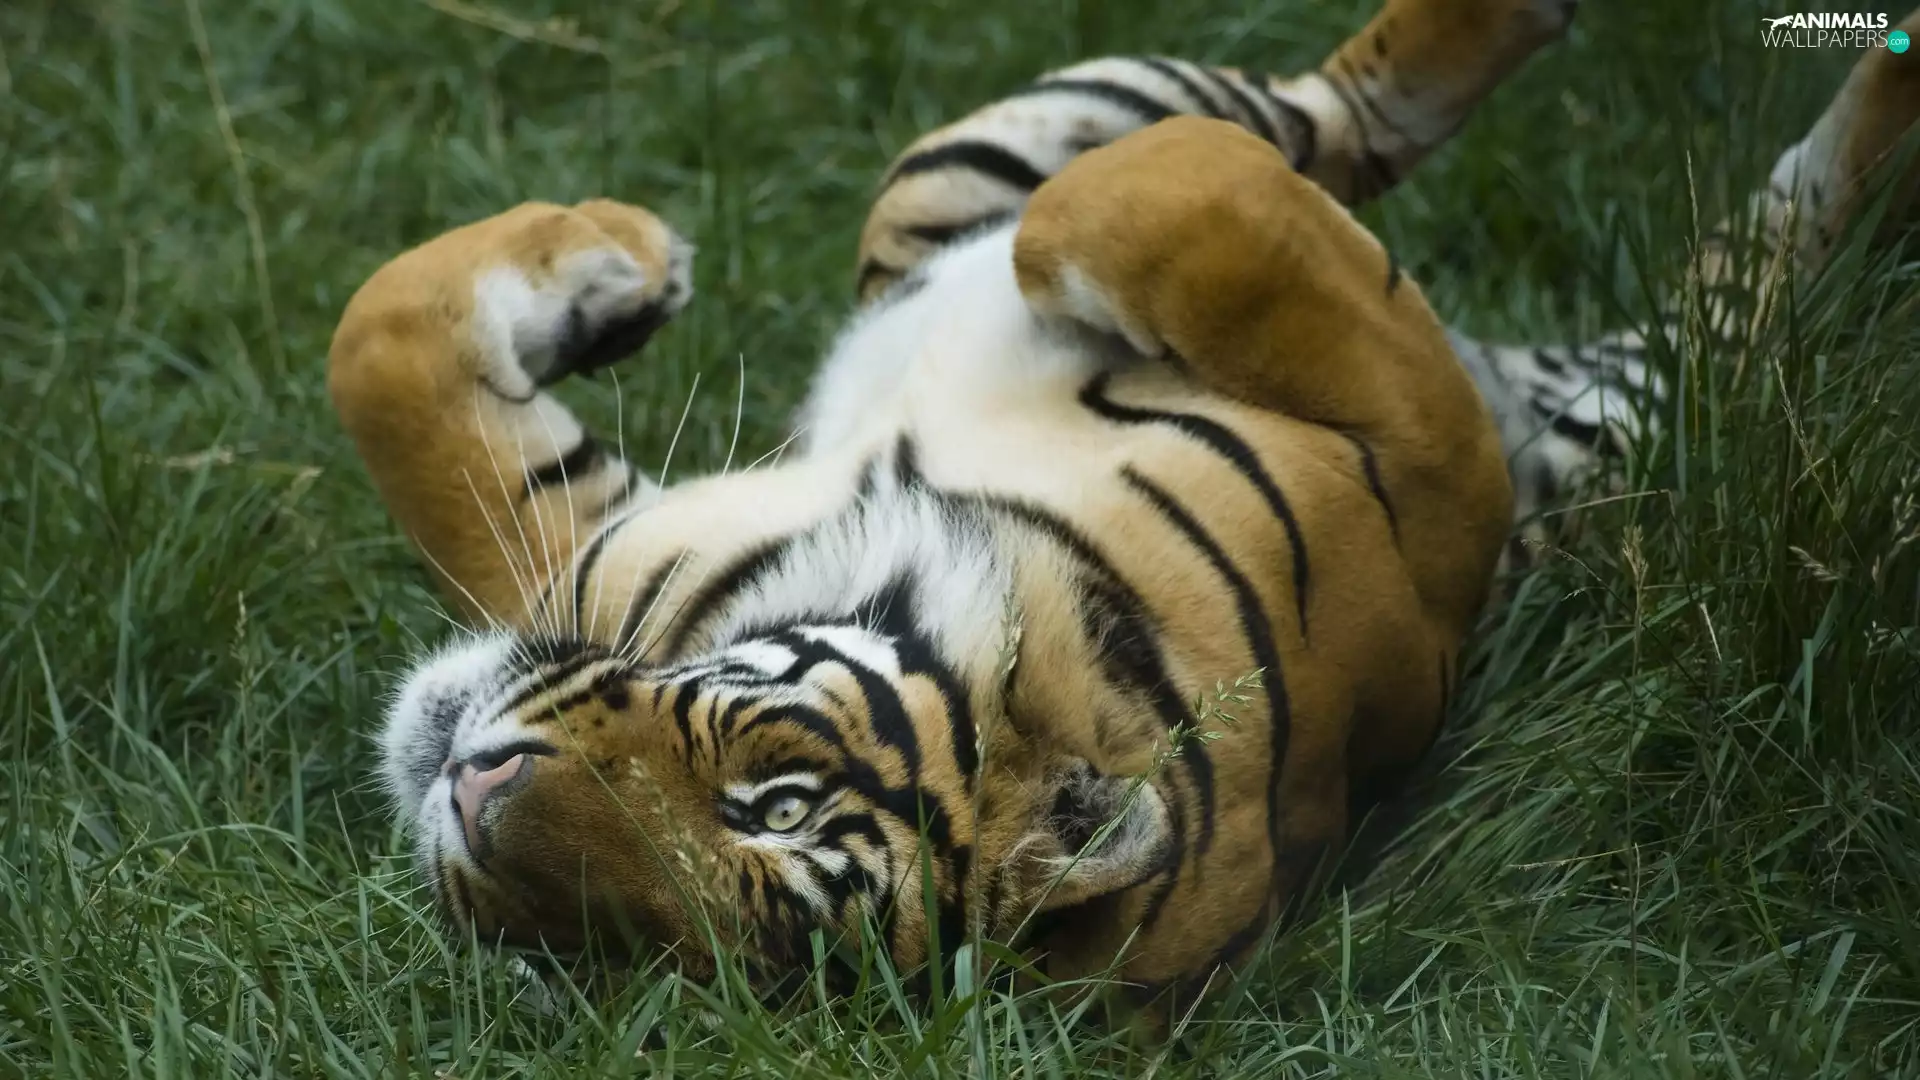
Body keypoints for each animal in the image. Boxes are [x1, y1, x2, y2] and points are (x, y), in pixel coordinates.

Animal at [332, 0, 1920, 1013]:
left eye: (775, 808)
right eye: (580, 949)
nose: (470, 795)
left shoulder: (1428, 472)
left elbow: (1147, 208)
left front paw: (630, 265)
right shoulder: (597, 556)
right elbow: (383, 339)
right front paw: (626, 265)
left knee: (1285, 136)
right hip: (991, 156)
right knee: (1339, 123)